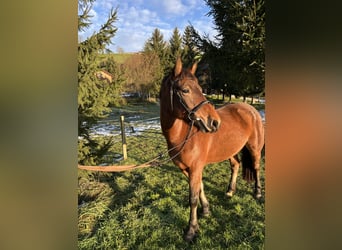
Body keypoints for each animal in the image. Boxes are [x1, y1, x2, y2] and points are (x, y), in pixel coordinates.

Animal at [160, 57, 264, 241]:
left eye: (201, 90)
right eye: (185, 90)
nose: (215, 122)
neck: (183, 134)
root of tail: (250, 109)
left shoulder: (195, 167)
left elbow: (193, 198)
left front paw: (191, 230)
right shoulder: (187, 169)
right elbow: (200, 187)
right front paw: (206, 210)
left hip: (254, 148)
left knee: (256, 167)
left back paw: (257, 193)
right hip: (230, 151)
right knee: (235, 165)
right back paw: (230, 191)